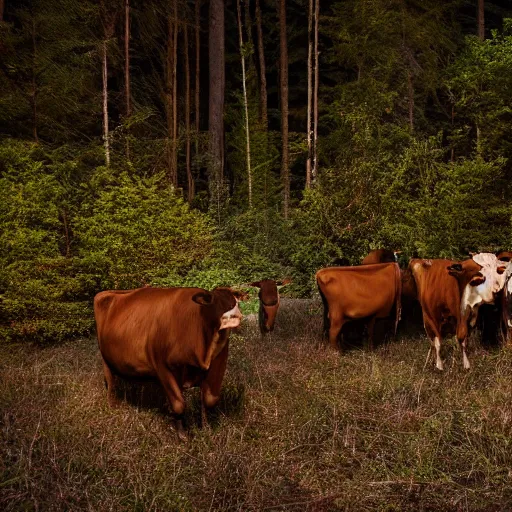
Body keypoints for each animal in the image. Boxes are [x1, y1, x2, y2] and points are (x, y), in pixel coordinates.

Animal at [94, 286, 246, 438]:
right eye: (215, 302)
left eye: (236, 302)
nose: (235, 316)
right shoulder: (163, 368)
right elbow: (179, 404)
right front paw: (182, 435)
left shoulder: (217, 365)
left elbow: (209, 400)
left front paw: (206, 429)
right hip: (105, 360)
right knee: (111, 385)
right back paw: (112, 408)